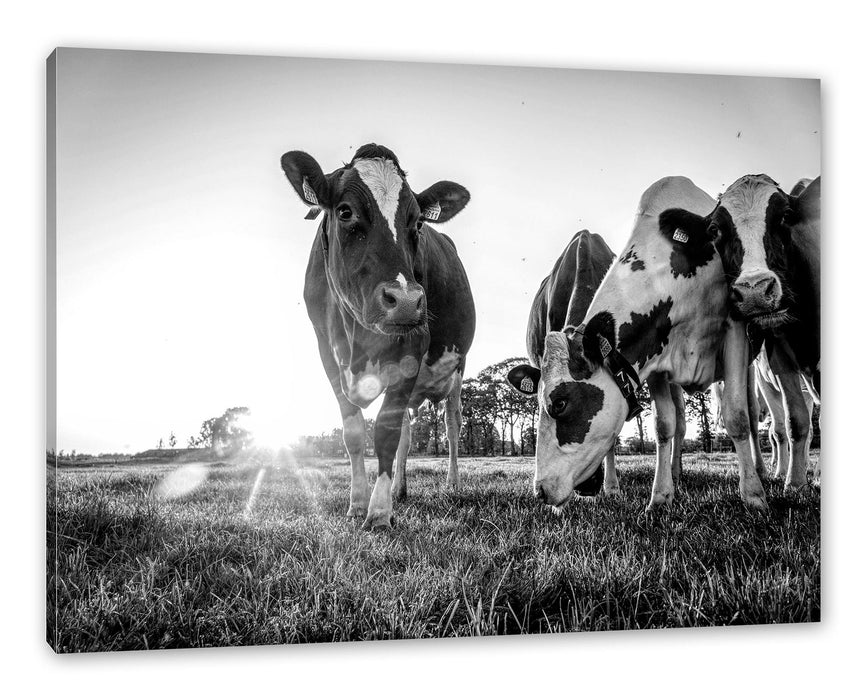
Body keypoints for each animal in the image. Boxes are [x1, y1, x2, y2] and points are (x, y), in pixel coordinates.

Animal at [280, 144, 475, 529]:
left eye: (417, 222)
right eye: (345, 211)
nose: (406, 301)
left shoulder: (413, 346)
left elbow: (385, 433)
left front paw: (379, 512)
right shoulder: (327, 353)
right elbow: (355, 433)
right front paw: (357, 503)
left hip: (457, 370)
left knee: (451, 424)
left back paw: (452, 484)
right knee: (408, 433)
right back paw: (400, 489)